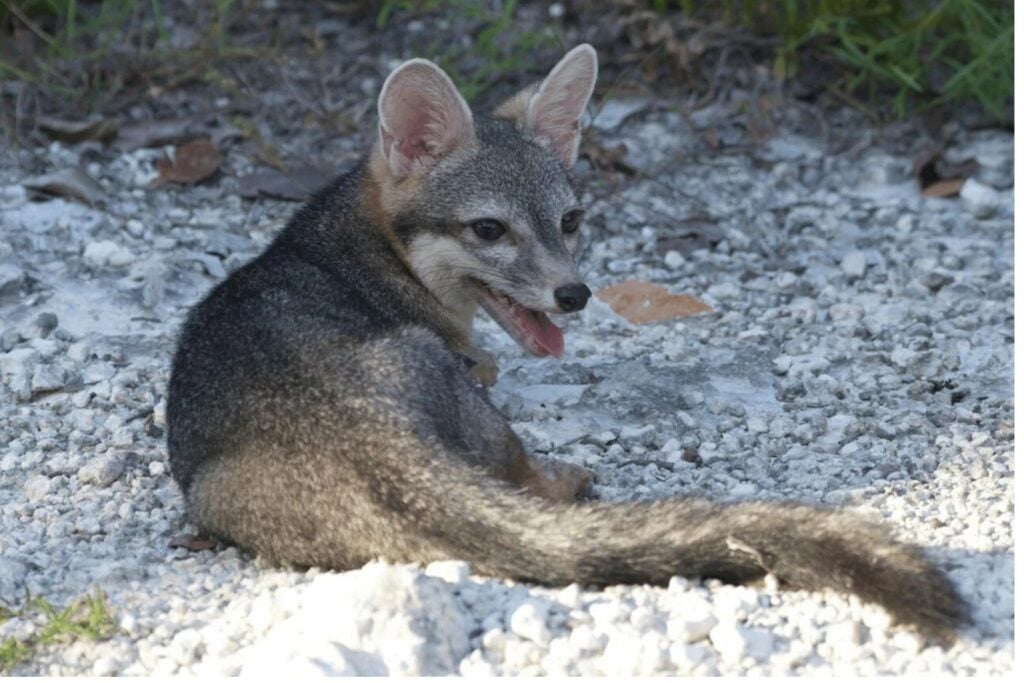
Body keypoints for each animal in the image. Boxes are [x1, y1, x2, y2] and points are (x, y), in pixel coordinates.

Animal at [166, 45, 966, 642]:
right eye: (489, 229)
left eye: (571, 221)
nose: (574, 294)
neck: (357, 250)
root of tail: (368, 436)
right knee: (524, 475)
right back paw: (566, 479)